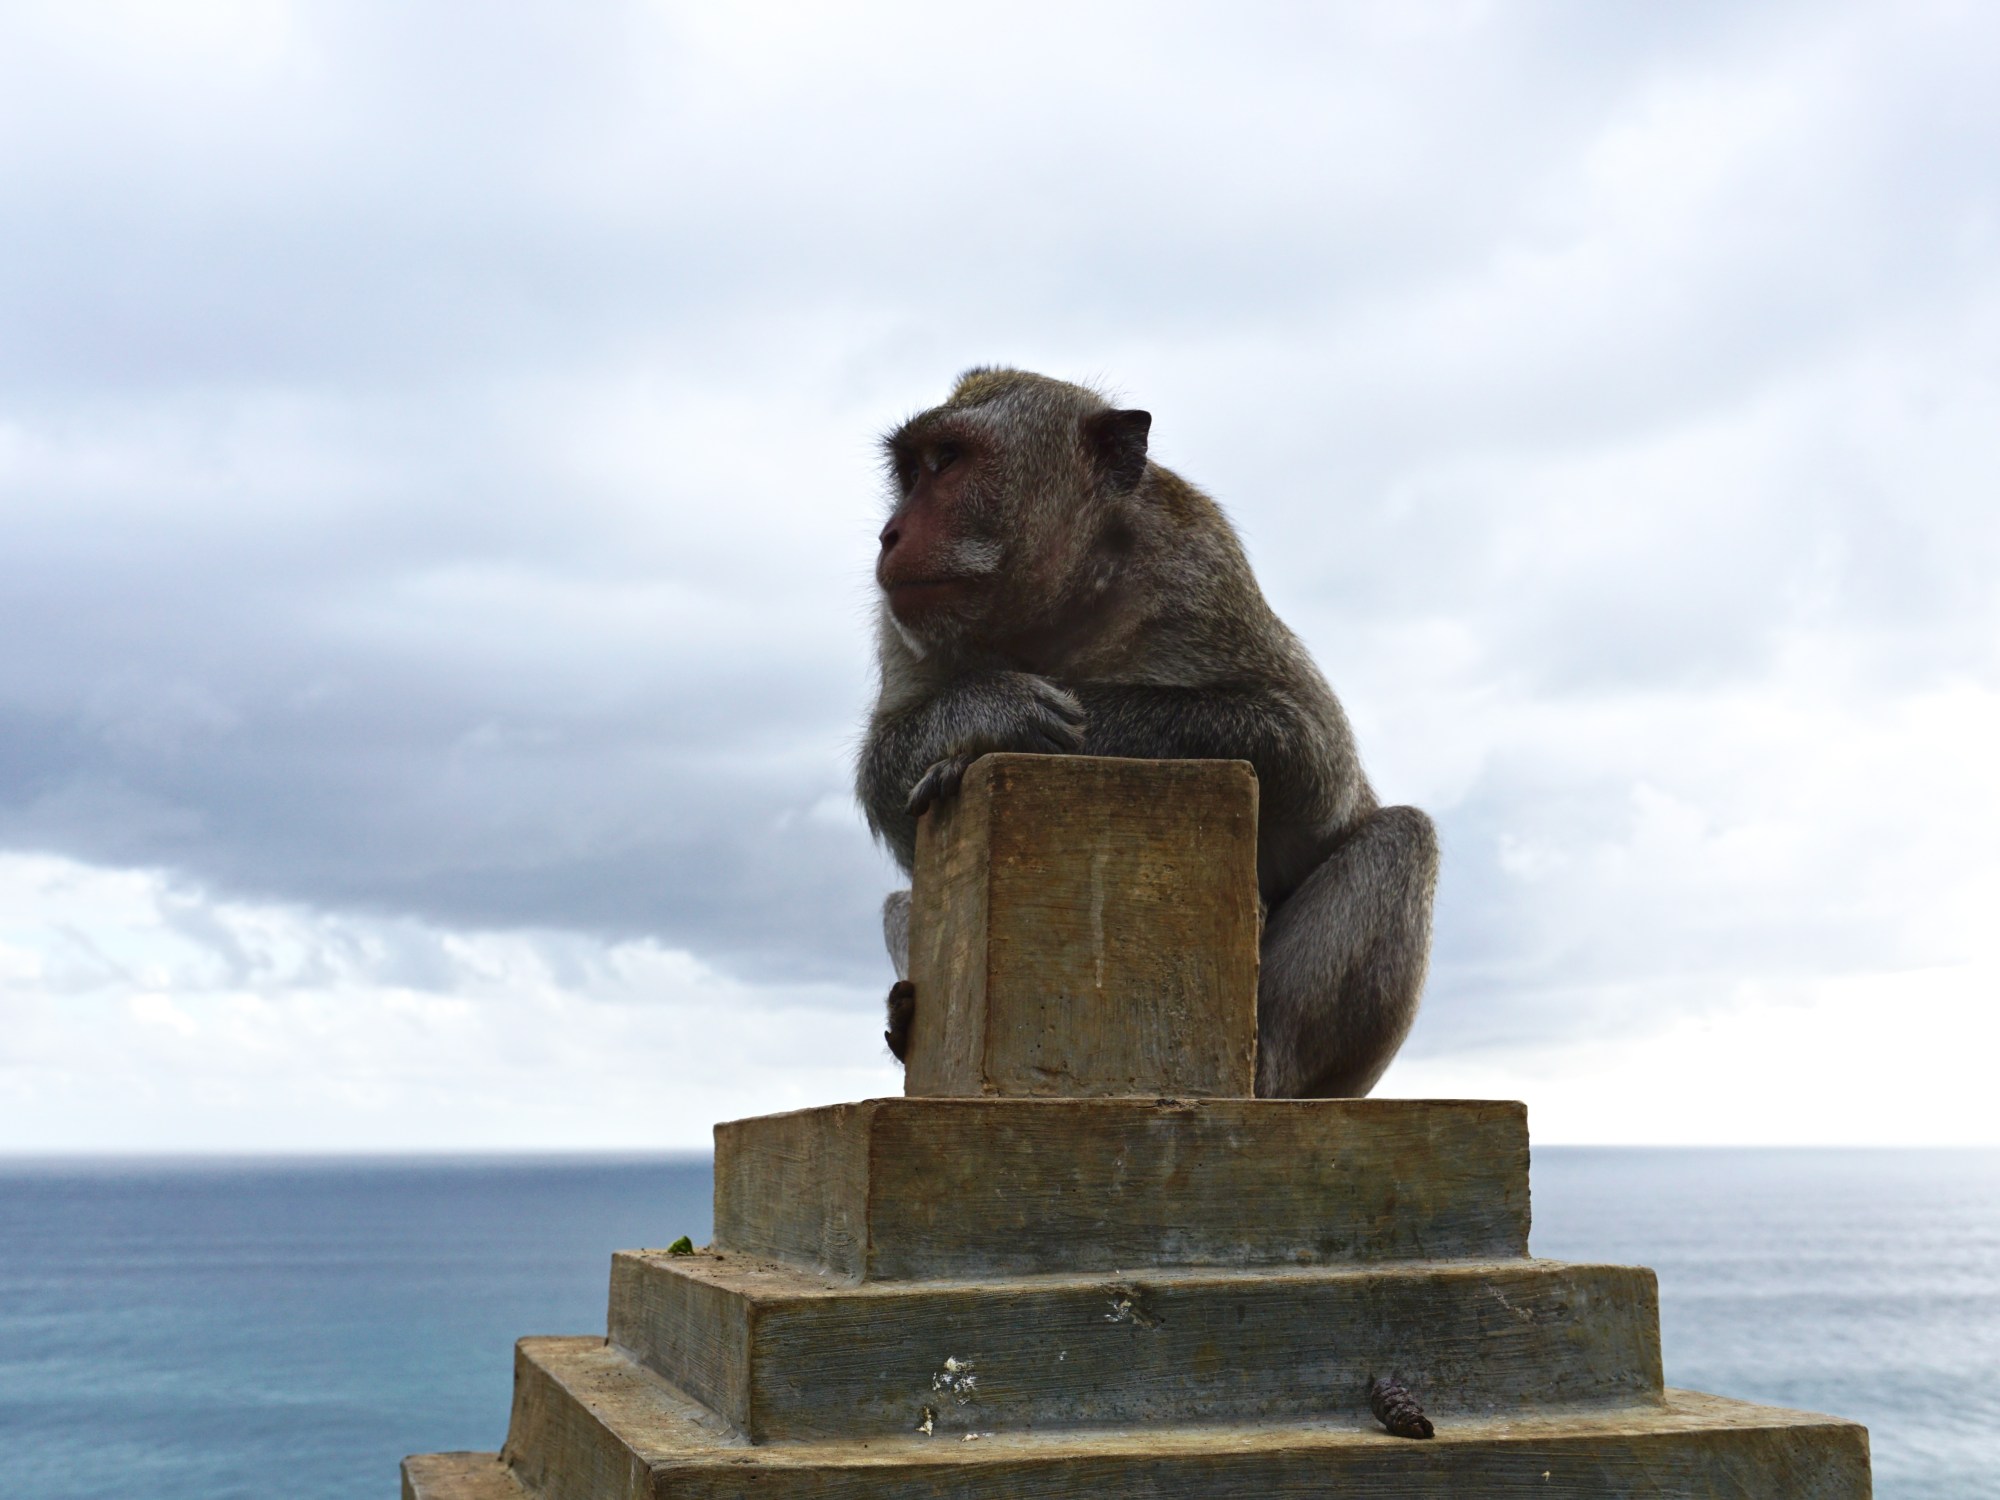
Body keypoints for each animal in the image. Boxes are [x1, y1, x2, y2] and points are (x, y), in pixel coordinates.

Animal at [856, 368, 1438, 1099]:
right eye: (911, 471)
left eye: (949, 460)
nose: (890, 533)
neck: (1061, 606)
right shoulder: (900, 615)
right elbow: (886, 782)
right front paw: (988, 708)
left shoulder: (1201, 563)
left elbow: (1314, 758)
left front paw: (1011, 725)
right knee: (898, 899)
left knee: (1402, 835)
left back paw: (1266, 1072)